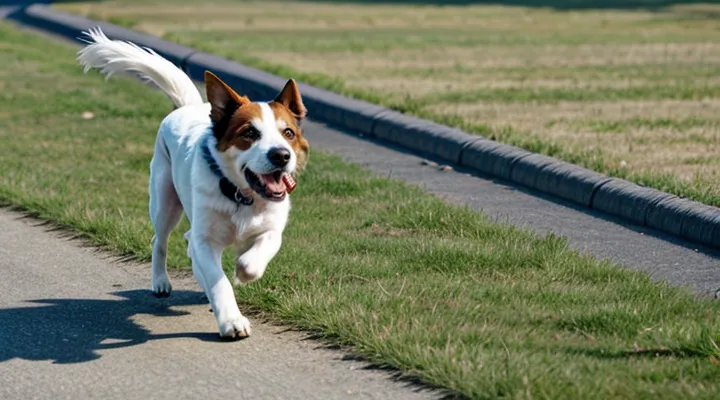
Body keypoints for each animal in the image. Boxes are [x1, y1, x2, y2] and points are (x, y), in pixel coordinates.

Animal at [79, 28, 310, 340]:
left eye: (288, 133)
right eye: (249, 133)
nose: (281, 155)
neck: (240, 196)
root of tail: (187, 107)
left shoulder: (271, 228)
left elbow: (253, 258)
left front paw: (242, 273)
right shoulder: (205, 239)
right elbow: (217, 279)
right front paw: (231, 320)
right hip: (165, 201)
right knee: (161, 240)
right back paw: (161, 281)